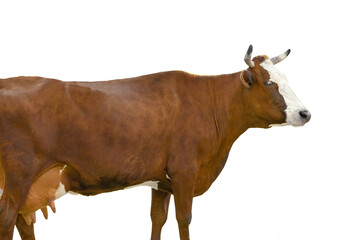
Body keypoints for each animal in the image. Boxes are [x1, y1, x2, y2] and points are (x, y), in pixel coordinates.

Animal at [0, 45, 310, 240]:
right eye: (269, 83)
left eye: (286, 79)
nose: (305, 113)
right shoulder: (185, 172)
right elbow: (184, 219)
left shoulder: (162, 181)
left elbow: (157, 218)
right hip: (19, 176)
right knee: (8, 217)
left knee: (23, 221)